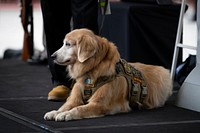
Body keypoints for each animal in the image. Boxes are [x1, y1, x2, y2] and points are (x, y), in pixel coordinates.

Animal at [43, 28, 172, 121]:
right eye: (63, 43)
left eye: (68, 44)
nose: (52, 56)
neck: (92, 69)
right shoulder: (74, 98)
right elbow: (65, 106)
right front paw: (55, 112)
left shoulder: (100, 104)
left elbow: (79, 109)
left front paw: (66, 114)